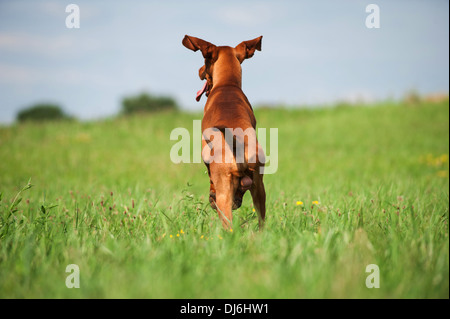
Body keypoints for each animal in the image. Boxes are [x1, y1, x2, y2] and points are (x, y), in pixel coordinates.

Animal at [183, 35, 266, 230]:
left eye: (204, 62)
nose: (199, 71)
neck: (227, 85)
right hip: (260, 188)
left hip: (224, 195)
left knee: (228, 225)